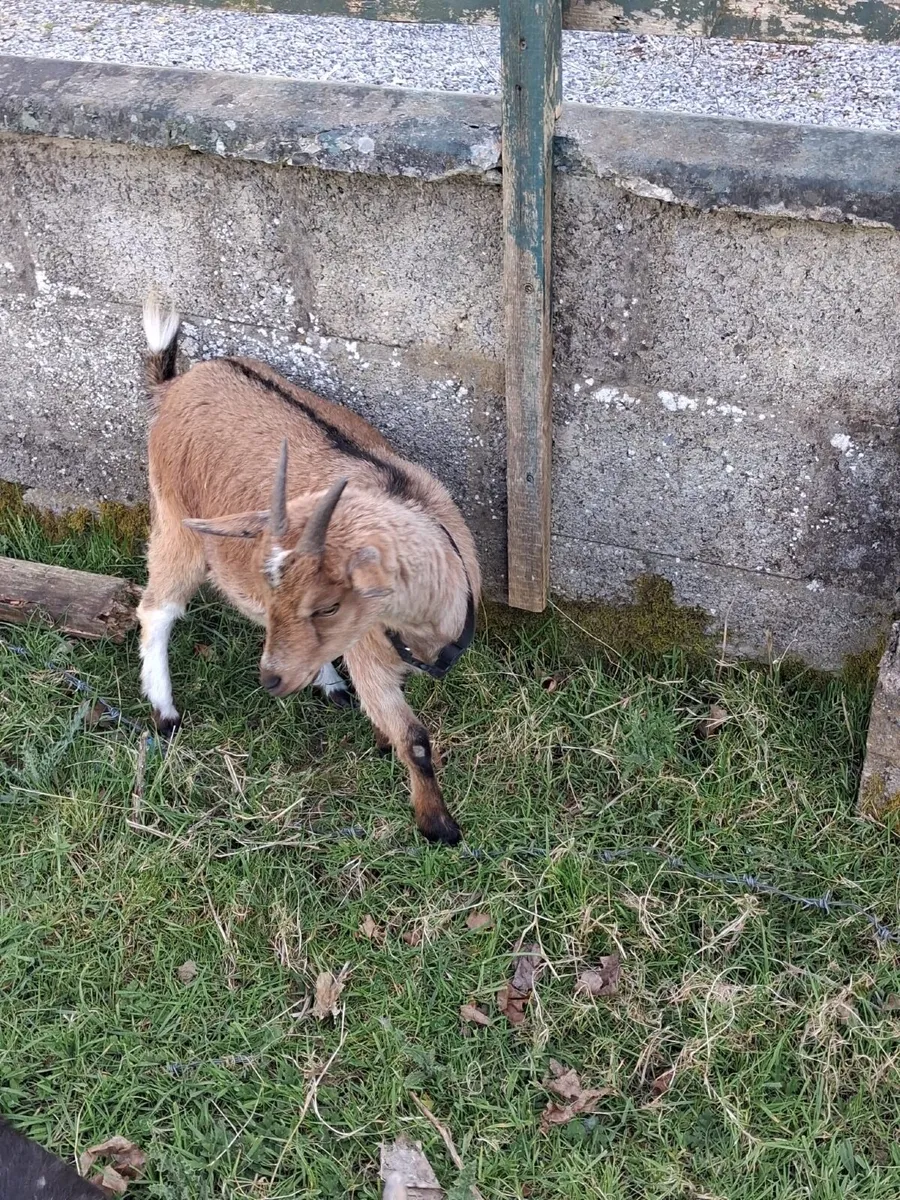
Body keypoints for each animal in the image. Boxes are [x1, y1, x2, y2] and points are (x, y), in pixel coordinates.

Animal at [137, 296, 481, 845]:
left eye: (328, 605)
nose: (269, 682)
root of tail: (177, 384)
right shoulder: (370, 655)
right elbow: (415, 739)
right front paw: (439, 826)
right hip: (175, 520)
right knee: (156, 610)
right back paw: (166, 713)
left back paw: (327, 684)